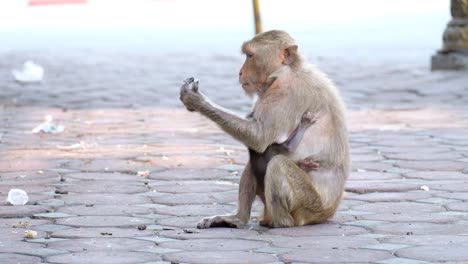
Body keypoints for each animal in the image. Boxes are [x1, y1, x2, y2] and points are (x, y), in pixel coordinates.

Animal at [181, 29, 350, 228]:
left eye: (250, 56)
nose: (240, 72)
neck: (287, 70)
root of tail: (330, 210)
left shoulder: (286, 92)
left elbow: (259, 138)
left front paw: (195, 100)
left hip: (310, 206)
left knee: (277, 164)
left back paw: (281, 222)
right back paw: (239, 219)